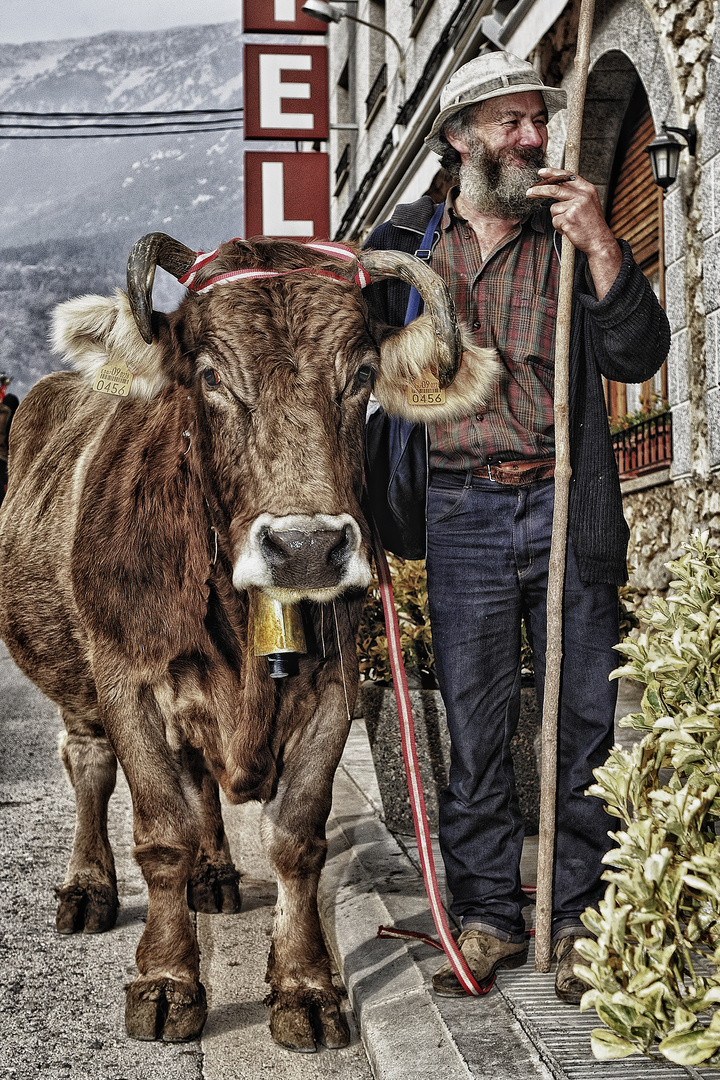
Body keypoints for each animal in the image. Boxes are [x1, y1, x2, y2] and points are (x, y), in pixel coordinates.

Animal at [0, 232, 496, 1049]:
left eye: (362, 375)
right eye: (208, 375)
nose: (306, 547)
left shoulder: (333, 688)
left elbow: (296, 838)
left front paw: (305, 984)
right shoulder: (128, 680)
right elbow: (161, 832)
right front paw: (167, 978)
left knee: (201, 779)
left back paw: (215, 875)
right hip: (73, 678)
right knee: (89, 766)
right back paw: (88, 887)